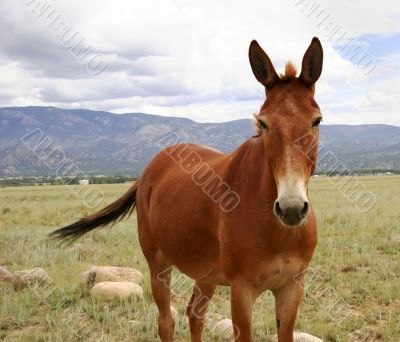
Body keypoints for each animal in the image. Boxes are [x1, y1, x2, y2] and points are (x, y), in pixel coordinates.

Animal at [50, 38, 324, 342]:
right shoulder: (242, 290)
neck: (277, 231)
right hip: (158, 263)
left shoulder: (291, 287)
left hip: (206, 274)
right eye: (263, 123)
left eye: (316, 121)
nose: (291, 208)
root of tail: (150, 168)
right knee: (166, 321)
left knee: (194, 313)